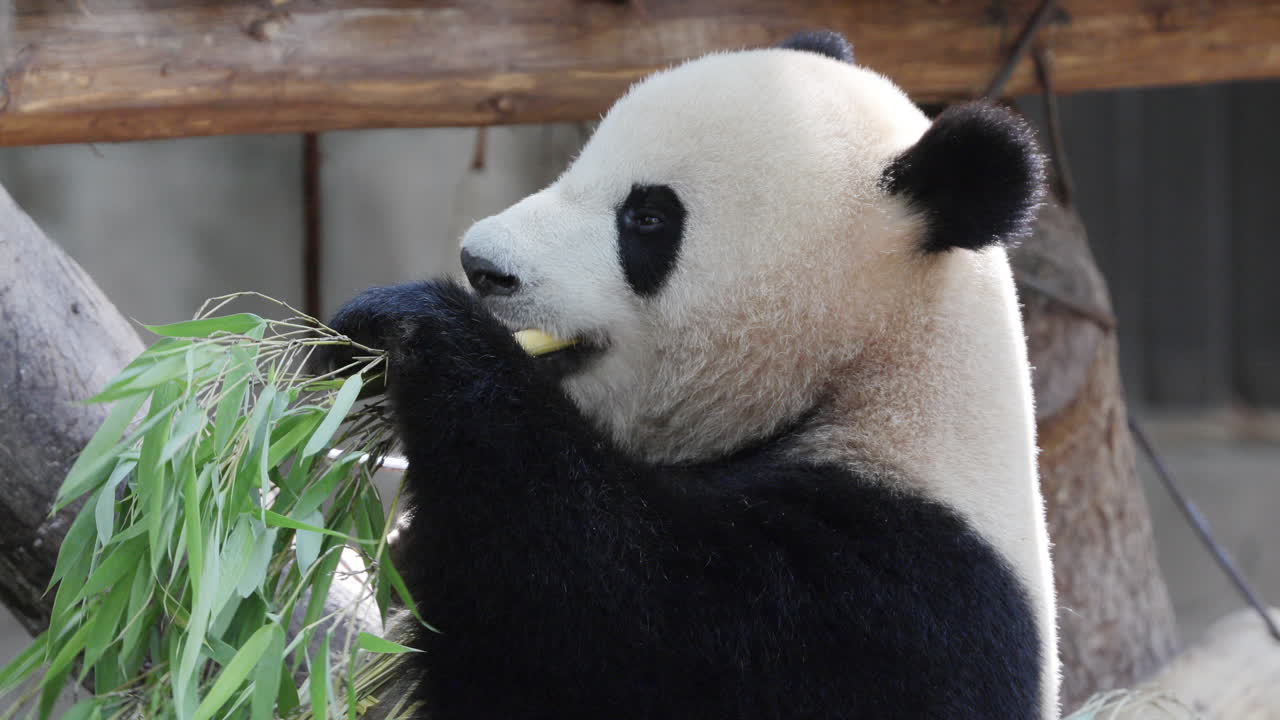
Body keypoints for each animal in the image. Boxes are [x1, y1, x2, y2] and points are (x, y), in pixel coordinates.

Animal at [325, 30, 1059, 720]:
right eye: (578, 166)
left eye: (648, 217)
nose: (482, 267)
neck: (868, 369)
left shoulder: (899, 593)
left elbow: (610, 612)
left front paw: (422, 330)